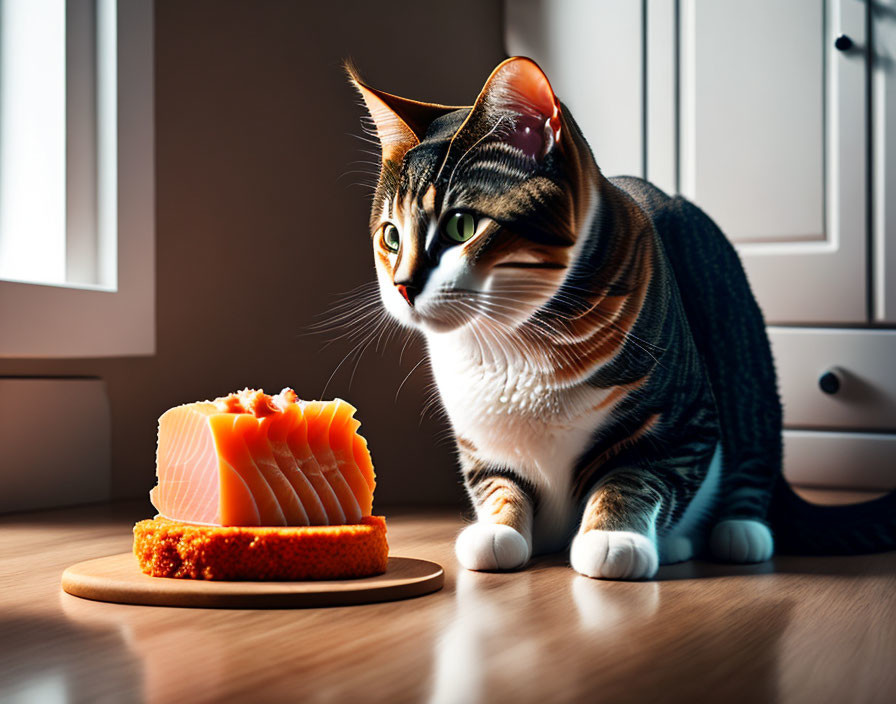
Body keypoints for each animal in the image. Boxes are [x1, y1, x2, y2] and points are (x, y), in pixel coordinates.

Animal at [348, 57, 896, 580]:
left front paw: (614, 539)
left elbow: (635, 476)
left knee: (754, 442)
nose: (403, 286)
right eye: (391, 235)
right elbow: (499, 484)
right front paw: (499, 530)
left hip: (741, 343)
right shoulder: (480, 439)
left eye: (462, 226)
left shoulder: (683, 419)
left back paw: (734, 532)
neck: (509, 346)